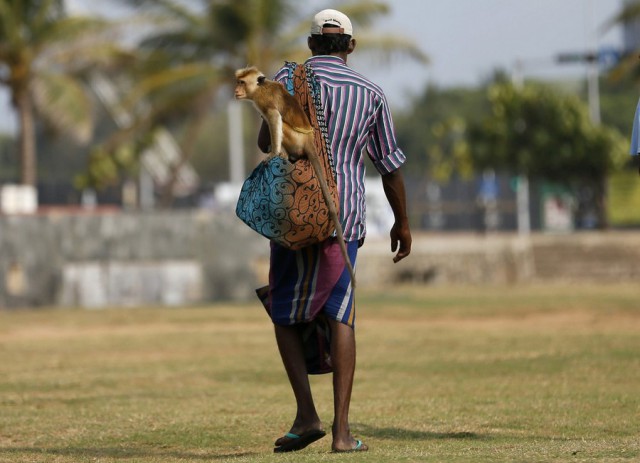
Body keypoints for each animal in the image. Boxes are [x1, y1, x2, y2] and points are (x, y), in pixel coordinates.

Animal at [235, 66, 358, 288]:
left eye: (241, 82)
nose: (236, 90)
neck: (259, 88)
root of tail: (309, 140)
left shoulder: (265, 101)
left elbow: (274, 118)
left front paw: (274, 153)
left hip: (295, 139)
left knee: (281, 124)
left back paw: (282, 154)